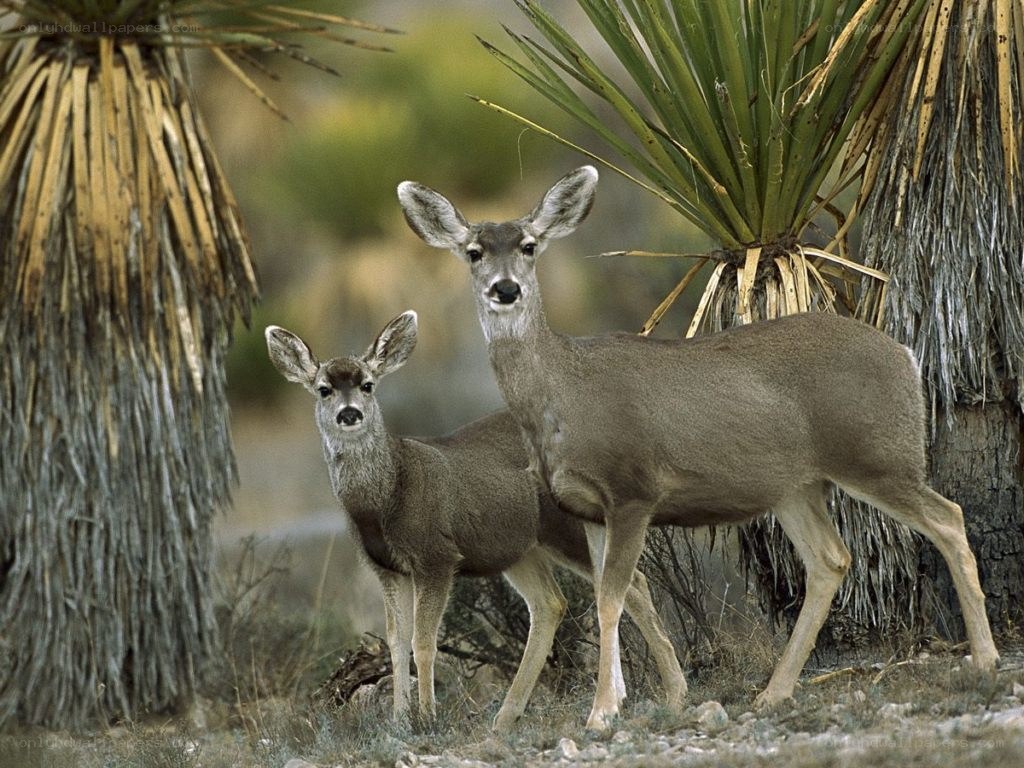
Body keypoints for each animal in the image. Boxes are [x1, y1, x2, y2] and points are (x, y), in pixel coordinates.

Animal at [265, 310, 686, 731]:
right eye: (323, 389)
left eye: (368, 385)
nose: (349, 413)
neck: (386, 497)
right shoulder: (386, 568)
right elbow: (396, 642)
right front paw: (399, 720)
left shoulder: (436, 555)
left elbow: (423, 642)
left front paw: (427, 717)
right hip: (518, 548)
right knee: (551, 602)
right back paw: (508, 715)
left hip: (566, 528)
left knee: (631, 582)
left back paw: (672, 692)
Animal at [397, 166, 1000, 730]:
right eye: (474, 252)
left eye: (528, 245)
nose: (505, 289)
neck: (563, 396)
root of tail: (906, 354)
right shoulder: (586, 507)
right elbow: (618, 595)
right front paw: (629, 700)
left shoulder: (634, 489)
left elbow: (611, 597)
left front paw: (601, 712)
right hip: (796, 486)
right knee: (831, 560)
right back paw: (774, 691)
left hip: (877, 455)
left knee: (948, 518)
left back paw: (985, 659)